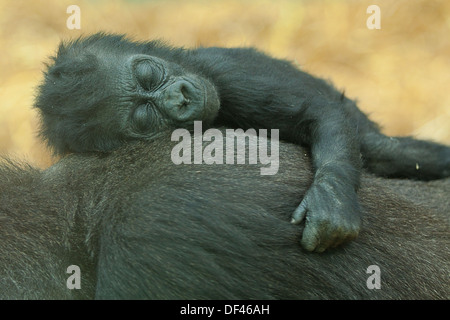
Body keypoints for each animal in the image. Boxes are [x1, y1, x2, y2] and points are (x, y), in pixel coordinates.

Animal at [36, 32, 450, 252]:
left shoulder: (224, 72)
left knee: (387, 151)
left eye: (149, 74)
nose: (179, 98)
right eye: (143, 115)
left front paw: (331, 200)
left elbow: (319, 113)